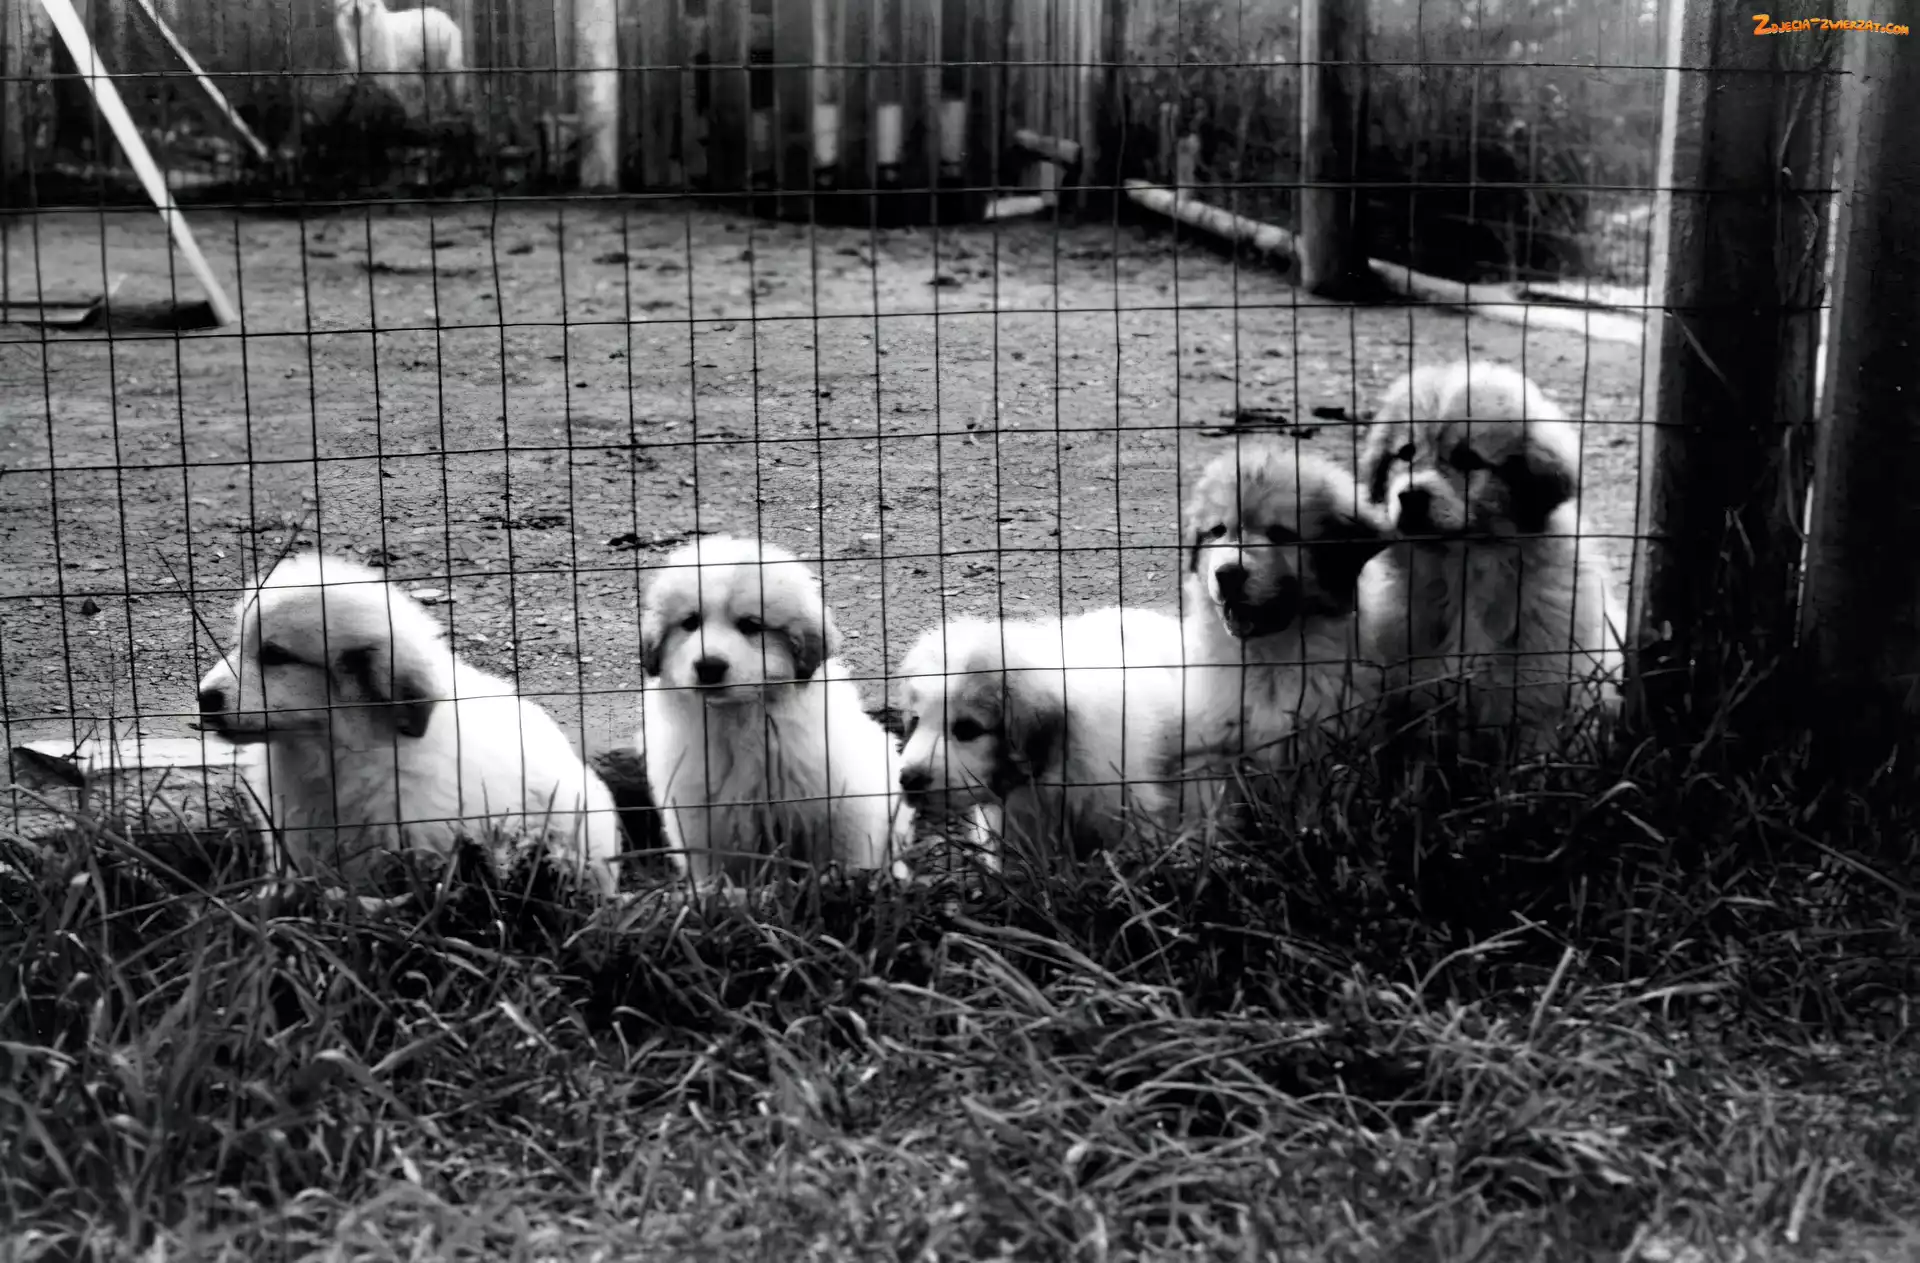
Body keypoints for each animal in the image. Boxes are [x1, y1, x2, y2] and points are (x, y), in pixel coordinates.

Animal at [334, 0, 468, 121]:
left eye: (364, 2)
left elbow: (396, 94)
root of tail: (447, 19)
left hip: (437, 63)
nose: (356, 10)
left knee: (440, 88)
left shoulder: (390, 69)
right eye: (349, 2)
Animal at [636, 535, 912, 885]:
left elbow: (844, 857)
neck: (740, 718)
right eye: (690, 623)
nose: (708, 666)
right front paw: (713, 892)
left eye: (750, 626)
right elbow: (714, 869)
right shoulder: (703, 821)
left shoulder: (840, 809)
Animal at [1178, 441, 1392, 819]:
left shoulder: (1322, 750)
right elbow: (1215, 814)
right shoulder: (1216, 751)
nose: (1227, 575)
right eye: (1218, 531)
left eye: (1280, 535)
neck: (1269, 660)